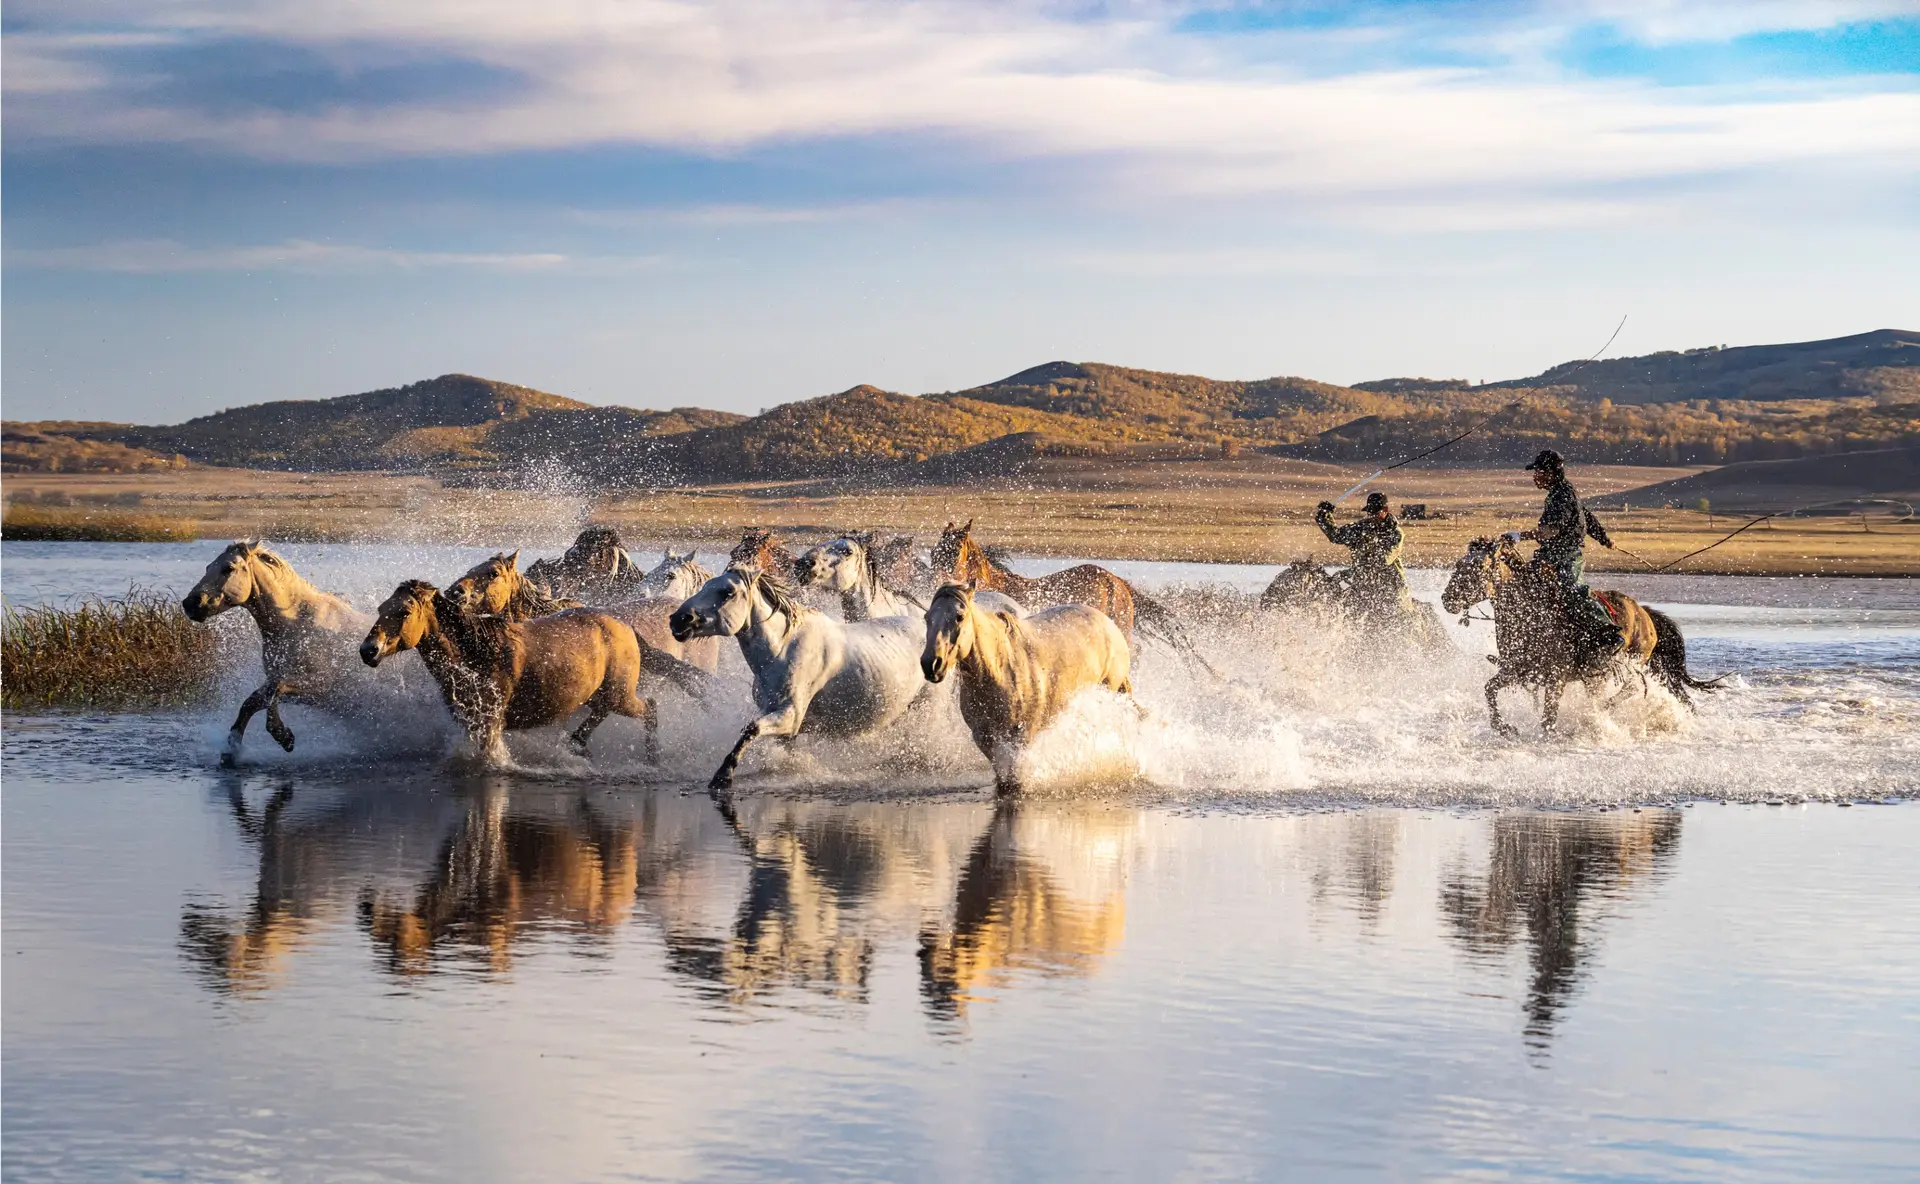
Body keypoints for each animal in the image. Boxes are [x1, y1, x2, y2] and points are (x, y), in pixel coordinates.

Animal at [182, 540, 379, 765]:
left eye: (228, 568)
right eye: (208, 567)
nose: (190, 603)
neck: (295, 625)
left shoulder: (322, 687)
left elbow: (277, 692)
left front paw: (284, 737)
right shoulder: (280, 681)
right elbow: (251, 703)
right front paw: (230, 752)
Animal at [360, 580, 657, 764]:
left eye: (405, 611)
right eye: (381, 609)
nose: (368, 650)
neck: (477, 654)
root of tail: (625, 625)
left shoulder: (490, 722)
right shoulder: (468, 721)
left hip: (621, 696)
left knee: (650, 709)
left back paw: (652, 759)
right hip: (599, 697)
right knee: (599, 715)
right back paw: (578, 744)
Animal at [669, 565, 933, 792]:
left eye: (728, 592)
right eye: (705, 586)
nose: (679, 619)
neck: (782, 650)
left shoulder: (791, 714)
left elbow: (751, 729)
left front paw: (723, 776)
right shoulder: (781, 719)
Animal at [921, 582, 1135, 794]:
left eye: (960, 616)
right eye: (927, 617)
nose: (931, 664)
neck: (1000, 670)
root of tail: (1109, 624)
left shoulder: (1022, 733)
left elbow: (1014, 772)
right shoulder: (983, 735)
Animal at [1440, 538, 1720, 736]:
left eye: (1478, 566)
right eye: (1460, 564)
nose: (1447, 599)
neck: (1531, 614)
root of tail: (1645, 614)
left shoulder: (1556, 678)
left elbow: (1548, 719)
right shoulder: (1518, 671)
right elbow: (1489, 690)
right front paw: (1505, 728)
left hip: (1628, 663)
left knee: (1628, 688)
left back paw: (1599, 711)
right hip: (1595, 675)